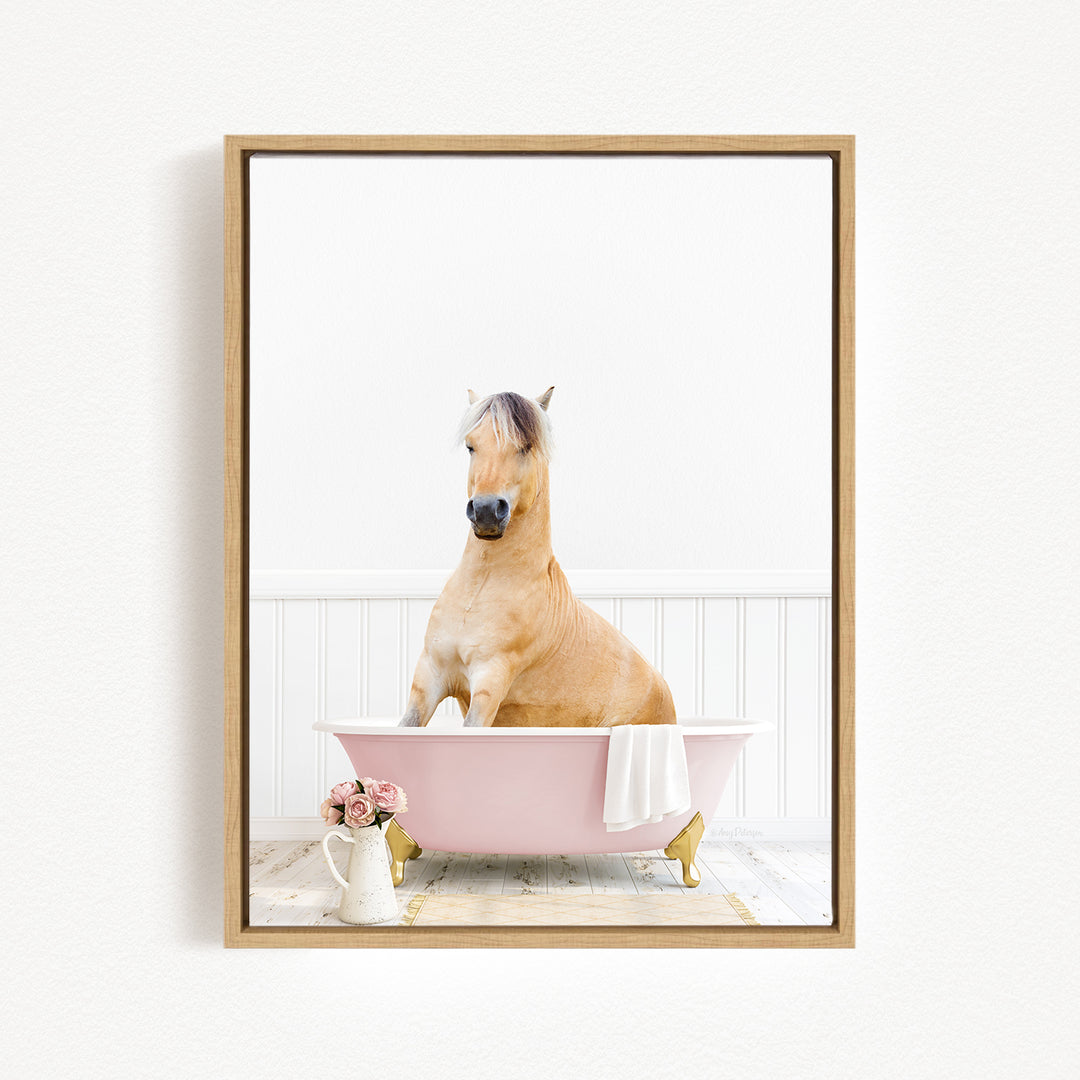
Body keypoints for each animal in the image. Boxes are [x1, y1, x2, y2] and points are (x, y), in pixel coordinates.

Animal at [399, 388, 676, 728]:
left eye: (525, 446)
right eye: (470, 446)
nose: (486, 511)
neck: (480, 590)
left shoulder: (489, 682)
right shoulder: (429, 676)